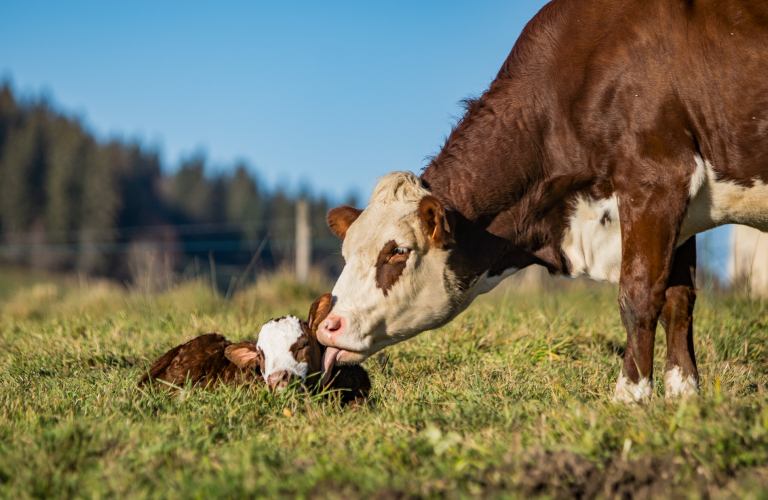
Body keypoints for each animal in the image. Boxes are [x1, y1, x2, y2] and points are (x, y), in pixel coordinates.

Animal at [316, 0, 768, 402]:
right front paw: (684, 394)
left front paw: (632, 394)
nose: (327, 326)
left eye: (398, 252)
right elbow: (679, 299)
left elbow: (639, 295)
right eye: (346, 253)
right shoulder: (681, 212)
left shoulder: (657, 180)